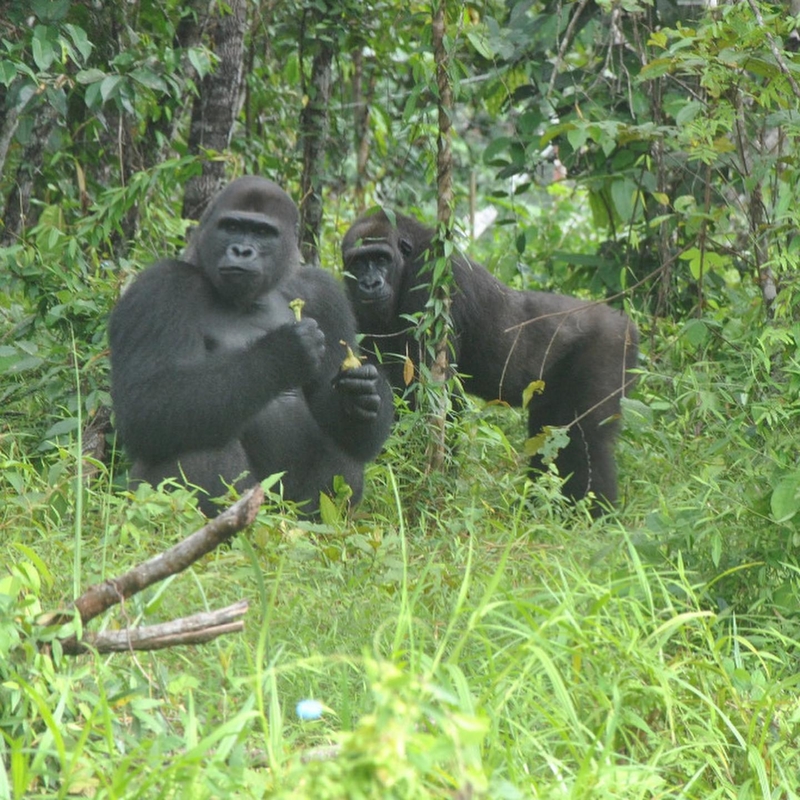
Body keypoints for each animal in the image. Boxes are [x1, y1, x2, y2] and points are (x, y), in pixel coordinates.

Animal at [109, 176, 394, 516]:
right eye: (231, 226)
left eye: (262, 233)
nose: (242, 250)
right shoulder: (158, 288)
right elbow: (146, 405)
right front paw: (282, 353)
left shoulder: (323, 293)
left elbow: (335, 411)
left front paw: (360, 395)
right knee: (193, 440)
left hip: (289, 506)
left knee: (342, 452)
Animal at [340, 211, 640, 512]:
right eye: (358, 263)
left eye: (381, 259)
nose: (370, 284)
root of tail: (628, 323)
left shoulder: (431, 286)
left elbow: (428, 402)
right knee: (550, 433)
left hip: (611, 345)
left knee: (587, 440)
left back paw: (593, 512)